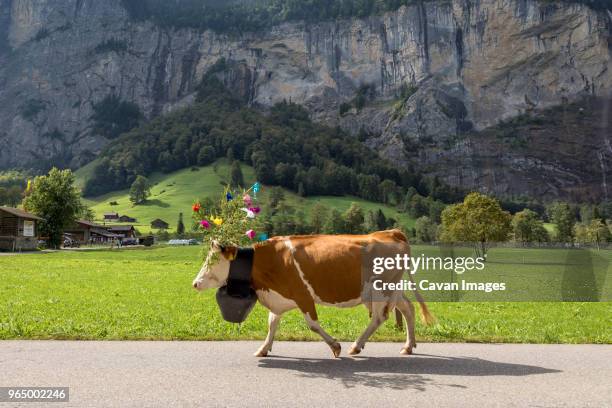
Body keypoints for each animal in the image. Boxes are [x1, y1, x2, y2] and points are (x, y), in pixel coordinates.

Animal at [194, 230, 432, 356]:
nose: (195, 283)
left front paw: (335, 346)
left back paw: (356, 346)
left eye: (212, 261)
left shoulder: (303, 296)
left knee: (380, 316)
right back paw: (408, 346)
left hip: (378, 290)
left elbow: (313, 324)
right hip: (392, 289)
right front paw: (263, 348)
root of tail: (390, 232)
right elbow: (272, 323)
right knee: (408, 308)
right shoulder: (279, 296)